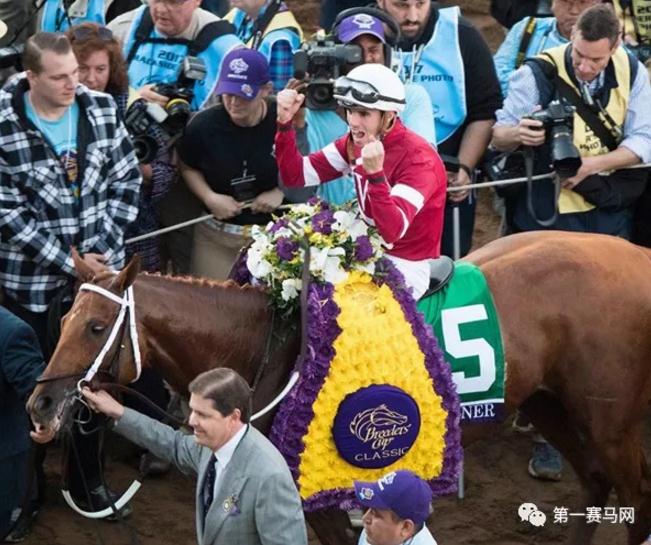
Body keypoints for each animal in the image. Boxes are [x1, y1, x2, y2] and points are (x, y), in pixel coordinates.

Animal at [28, 231, 651, 544]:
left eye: (96, 326)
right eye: (64, 318)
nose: (40, 403)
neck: (274, 343)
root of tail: (637, 254)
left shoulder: (312, 493)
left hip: (607, 418)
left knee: (634, 491)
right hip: (551, 404)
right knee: (597, 483)